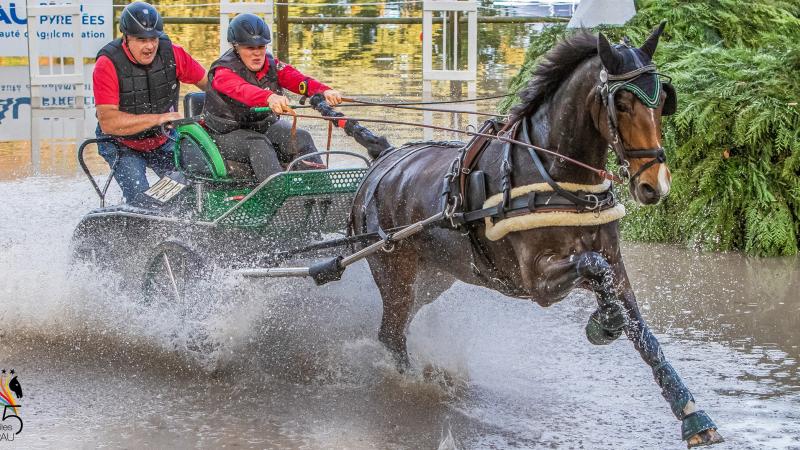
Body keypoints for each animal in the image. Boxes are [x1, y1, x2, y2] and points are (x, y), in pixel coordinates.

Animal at [350, 22, 724, 446]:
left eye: (662, 100)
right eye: (623, 103)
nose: (654, 185)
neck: (555, 174)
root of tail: (383, 159)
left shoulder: (615, 264)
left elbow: (643, 335)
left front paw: (692, 415)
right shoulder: (537, 280)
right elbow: (593, 268)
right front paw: (605, 322)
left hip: (431, 279)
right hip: (395, 274)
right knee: (391, 335)